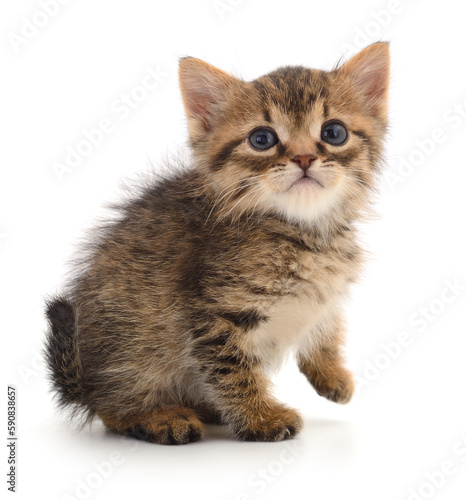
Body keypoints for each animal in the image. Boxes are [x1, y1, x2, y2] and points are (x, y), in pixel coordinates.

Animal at [46, 42, 390, 442]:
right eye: (262, 139)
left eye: (334, 132)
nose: (304, 157)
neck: (308, 233)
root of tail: (85, 380)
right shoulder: (215, 313)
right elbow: (233, 369)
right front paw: (261, 417)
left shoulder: (324, 293)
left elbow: (326, 324)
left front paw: (332, 373)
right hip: (134, 349)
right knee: (113, 407)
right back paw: (159, 416)